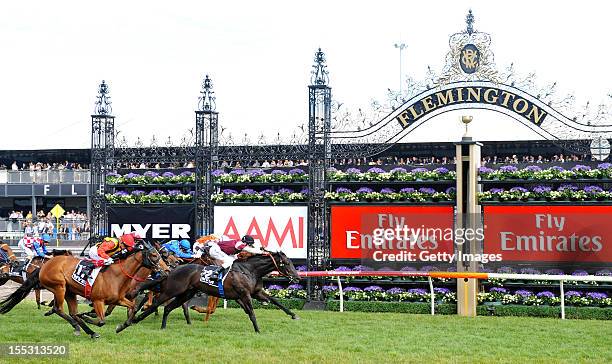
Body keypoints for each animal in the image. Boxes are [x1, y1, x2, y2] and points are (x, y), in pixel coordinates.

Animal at [0, 242, 167, 338]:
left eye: (161, 255)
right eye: (154, 255)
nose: (166, 271)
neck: (116, 275)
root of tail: (44, 266)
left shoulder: (119, 299)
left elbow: (132, 308)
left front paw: (122, 326)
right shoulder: (98, 300)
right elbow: (101, 321)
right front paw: (88, 317)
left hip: (70, 291)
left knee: (72, 312)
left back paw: (87, 331)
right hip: (59, 287)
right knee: (59, 309)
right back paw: (80, 326)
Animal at [116, 250, 300, 332]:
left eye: (291, 262)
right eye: (286, 263)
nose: (297, 278)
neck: (249, 270)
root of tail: (172, 270)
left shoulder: (255, 292)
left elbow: (275, 301)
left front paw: (293, 315)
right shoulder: (244, 294)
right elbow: (252, 312)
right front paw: (257, 329)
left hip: (186, 293)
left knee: (167, 308)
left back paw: (162, 327)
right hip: (172, 291)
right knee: (154, 305)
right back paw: (130, 322)